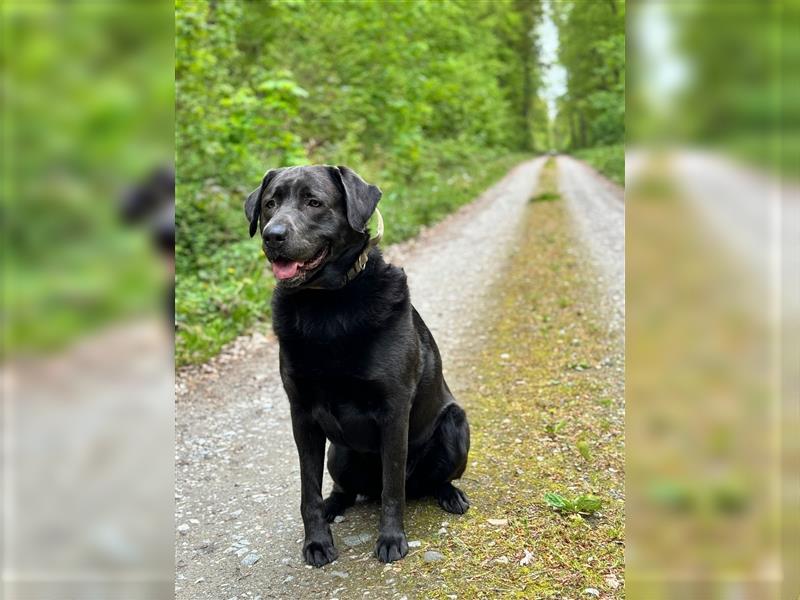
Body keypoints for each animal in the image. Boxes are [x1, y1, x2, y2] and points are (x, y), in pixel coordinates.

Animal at [244, 165, 468, 568]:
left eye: (314, 202)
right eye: (270, 204)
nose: (273, 235)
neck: (325, 307)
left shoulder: (393, 412)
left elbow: (392, 488)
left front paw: (392, 539)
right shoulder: (302, 415)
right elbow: (308, 491)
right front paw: (317, 542)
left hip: (456, 425)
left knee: (425, 482)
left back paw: (449, 494)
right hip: (339, 454)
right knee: (344, 489)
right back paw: (335, 505)